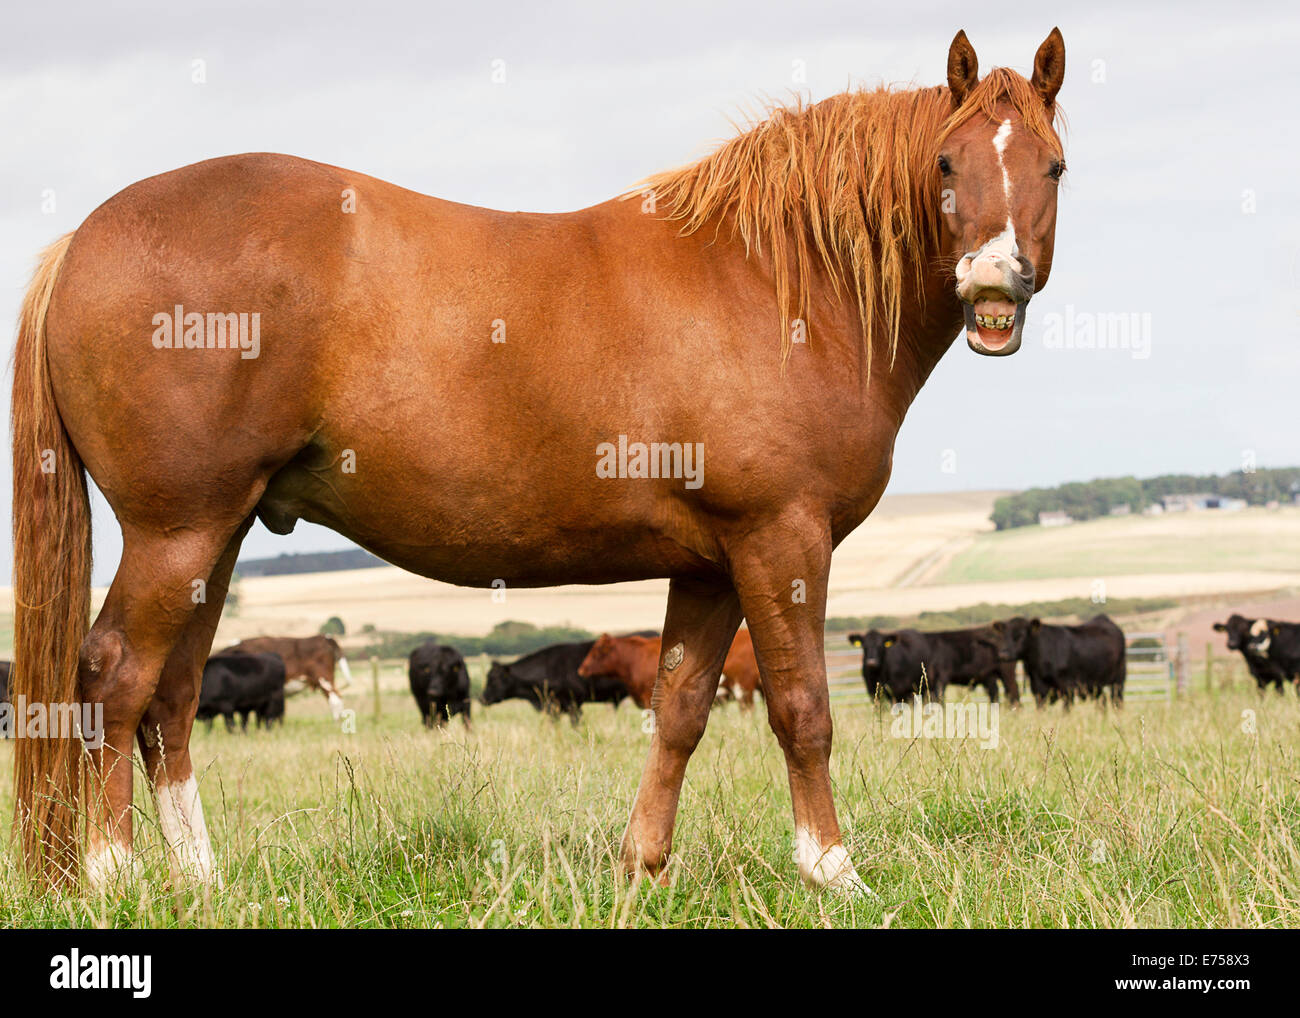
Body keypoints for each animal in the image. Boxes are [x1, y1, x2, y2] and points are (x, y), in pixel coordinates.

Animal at [10, 29, 1066, 894]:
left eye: (1053, 166)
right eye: (945, 160)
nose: (992, 286)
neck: (778, 278)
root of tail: (82, 239)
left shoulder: (710, 562)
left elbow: (680, 710)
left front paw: (642, 869)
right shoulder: (781, 540)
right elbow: (803, 706)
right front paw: (834, 874)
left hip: (215, 534)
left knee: (170, 699)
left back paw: (202, 881)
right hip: (176, 531)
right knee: (113, 678)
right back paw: (112, 877)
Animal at [982, 616, 1128, 707]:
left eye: (1021, 635)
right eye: (1004, 635)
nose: (1003, 654)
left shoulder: (1068, 688)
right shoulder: (1038, 690)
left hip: (1118, 680)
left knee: (1117, 702)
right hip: (1095, 685)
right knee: (1102, 702)